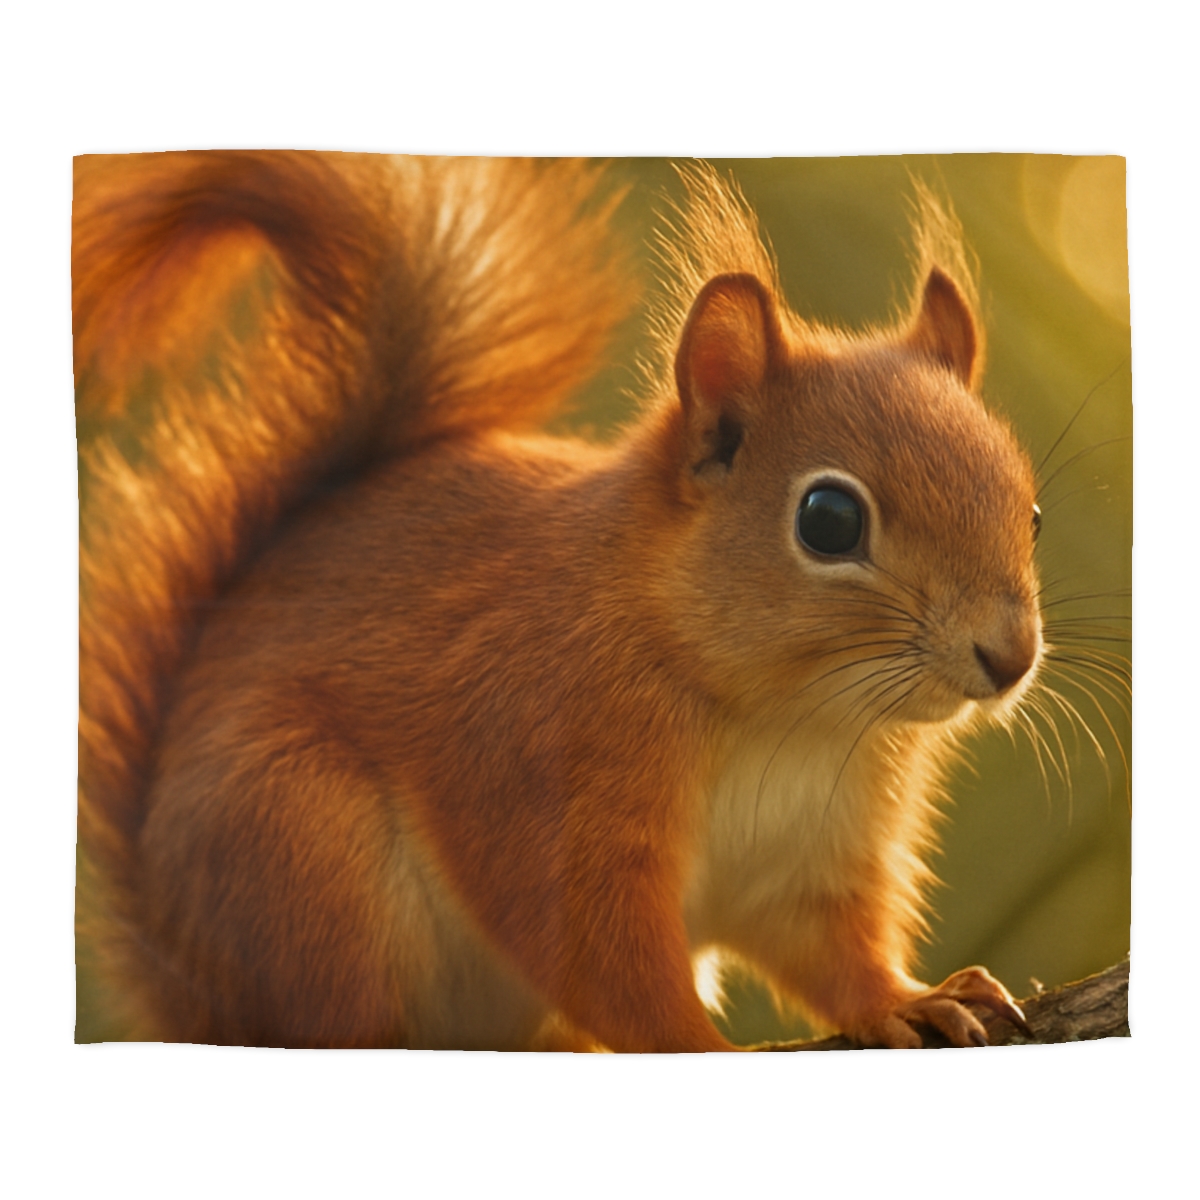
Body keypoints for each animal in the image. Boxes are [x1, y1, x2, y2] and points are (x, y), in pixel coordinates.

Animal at [75, 151, 1040, 1051]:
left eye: (1030, 510)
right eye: (829, 520)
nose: (1010, 657)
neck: (790, 718)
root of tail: (182, 988)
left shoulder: (812, 856)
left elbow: (831, 950)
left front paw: (906, 999)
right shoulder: (539, 771)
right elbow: (600, 954)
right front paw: (700, 1045)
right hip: (299, 856)